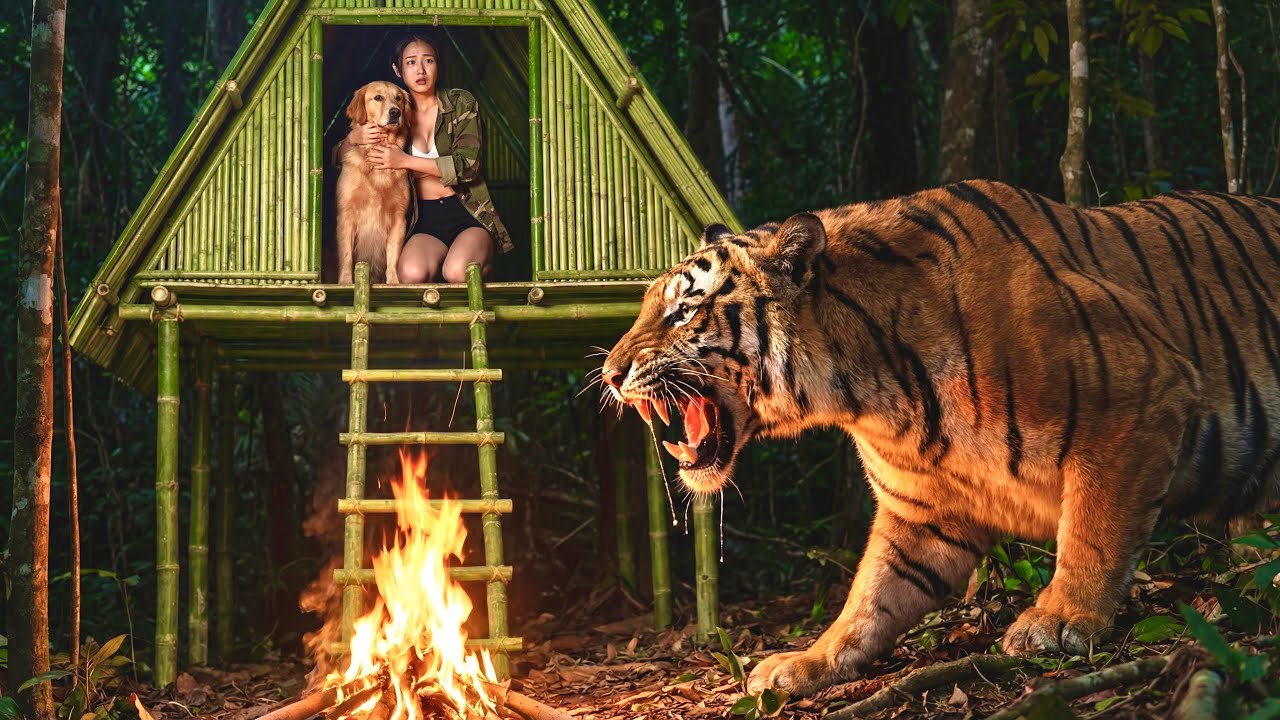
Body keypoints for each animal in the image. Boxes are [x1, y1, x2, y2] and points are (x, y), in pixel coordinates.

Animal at [600, 180, 1280, 697]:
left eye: (684, 311)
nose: (609, 373)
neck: (869, 396)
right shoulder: (921, 511)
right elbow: (870, 595)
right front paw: (809, 661)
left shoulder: (1140, 397)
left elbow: (1094, 533)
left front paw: (1060, 620)